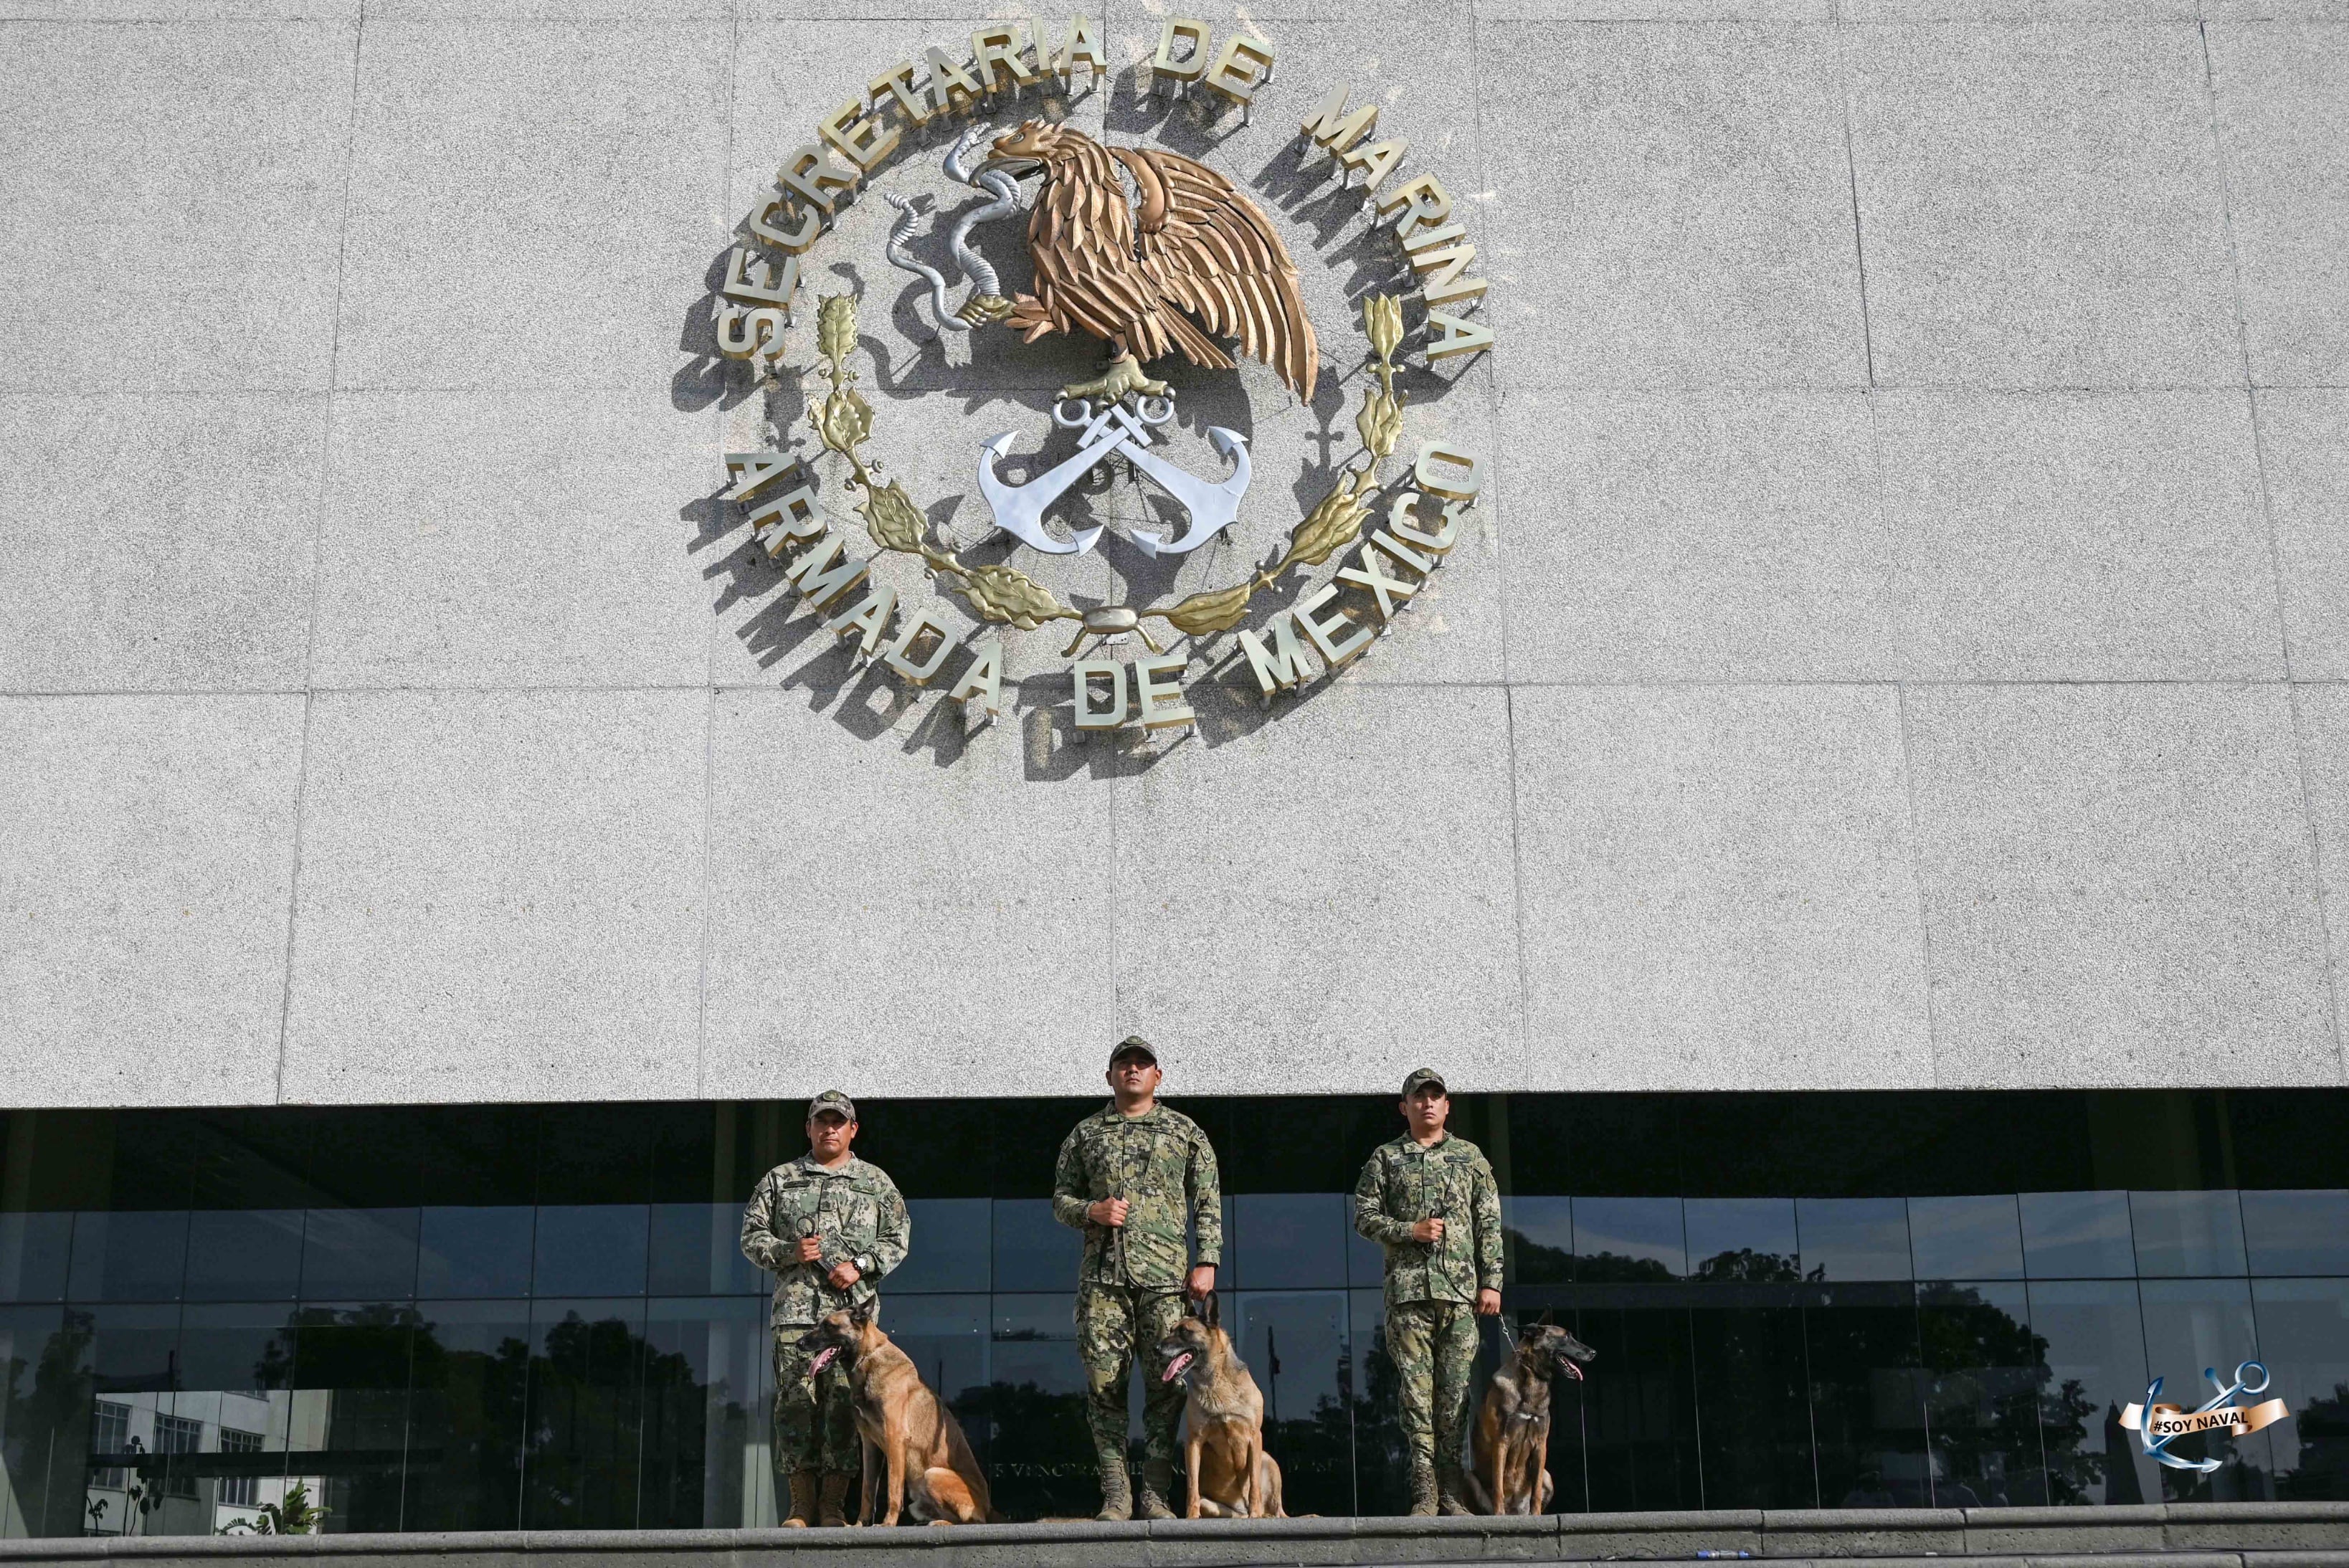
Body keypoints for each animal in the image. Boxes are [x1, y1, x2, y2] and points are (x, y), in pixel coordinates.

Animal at [803, 1305, 996, 1521]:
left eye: (829, 1325)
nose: (798, 1343)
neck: (869, 1356)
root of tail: (988, 1508)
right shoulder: (870, 1445)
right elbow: (867, 1492)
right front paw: (860, 1524)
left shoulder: (894, 1439)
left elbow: (893, 1491)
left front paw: (887, 1523)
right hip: (918, 1503)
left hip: (933, 1474)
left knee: (964, 1520)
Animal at [1155, 1296, 1287, 1511]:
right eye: (1171, 1330)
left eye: (1185, 1331)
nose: (1156, 1349)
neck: (1216, 1382)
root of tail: (1240, 1510)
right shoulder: (1194, 1442)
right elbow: (1192, 1487)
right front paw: (1191, 1516)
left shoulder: (1254, 1437)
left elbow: (1254, 1485)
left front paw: (1255, 1513)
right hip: (1212, 1504)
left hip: (1268, 1459)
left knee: (1277, 1512)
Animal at [1466, 1314, 1597, 1511]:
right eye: (1566, 1336)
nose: (1593, 1352)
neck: (1532, 1378)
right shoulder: (1501, 1442)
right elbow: (1498, 1488)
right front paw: (1499, 1514)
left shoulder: (1540, 1445)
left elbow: (1536, 1493)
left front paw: (1536, 1515)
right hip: (1470, 1476)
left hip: (1548, 1476)